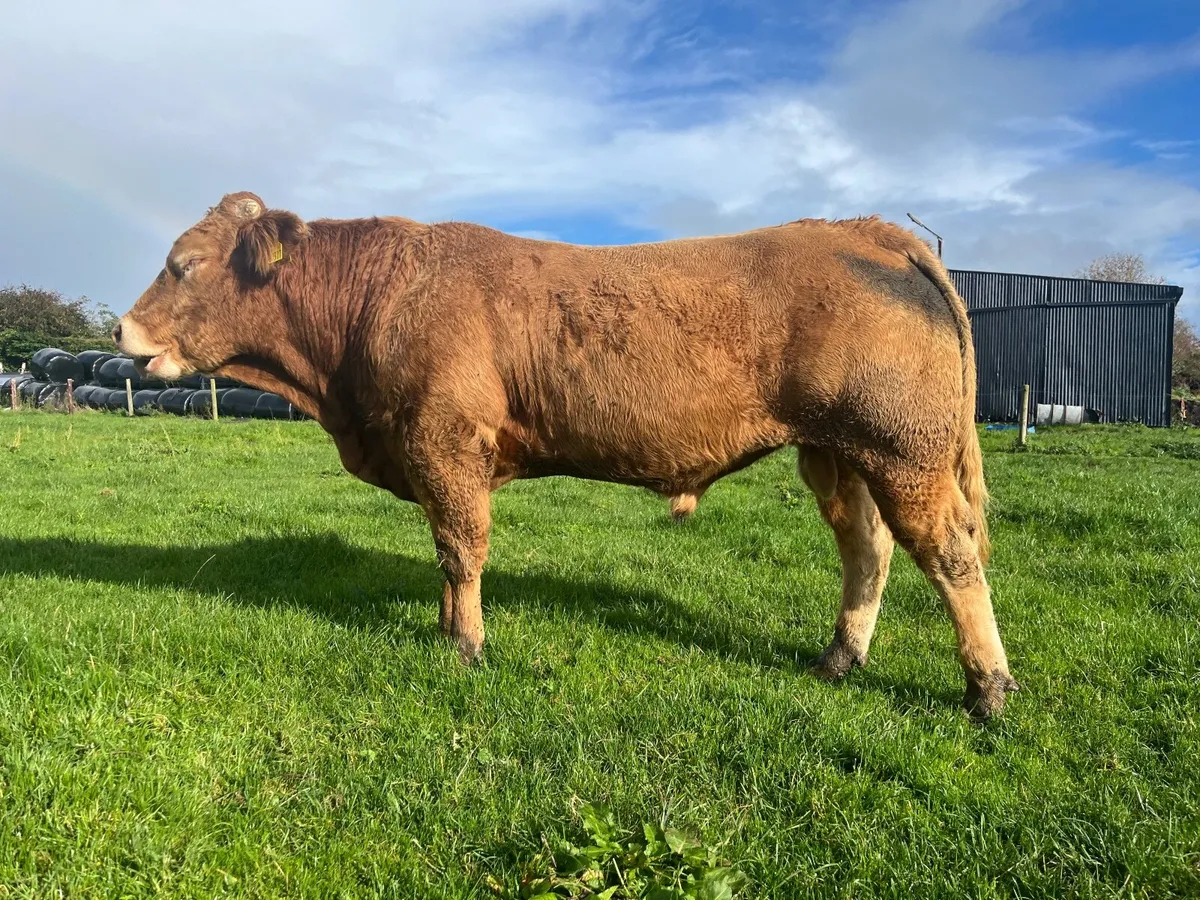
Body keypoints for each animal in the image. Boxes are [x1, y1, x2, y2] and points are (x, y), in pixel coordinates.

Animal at [114, 191, 1019, 719]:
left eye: (182, 264)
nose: (121, 330)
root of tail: (869, 231)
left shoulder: (446, 443)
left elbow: (461, 550)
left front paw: (464, 647)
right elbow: (446, 556)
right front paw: (446, 630)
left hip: (901, 449)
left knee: (951, 554)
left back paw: (986, 689)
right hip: (839, 452)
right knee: (868, 550)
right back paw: (839, 660)